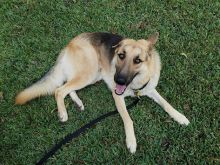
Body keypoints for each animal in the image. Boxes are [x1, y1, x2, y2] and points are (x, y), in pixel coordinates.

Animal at [16, 32, 190, 153]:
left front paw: (180, 117)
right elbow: (128, 119)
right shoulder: (117, 97)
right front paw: (131, 141)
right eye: (121, 55)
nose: (118, 80)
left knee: (68, 87)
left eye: (137, 60)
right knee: (60, 90)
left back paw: (78, 102)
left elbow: (166, 104)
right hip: (90, 72)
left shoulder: (149, 89)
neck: (136, 84)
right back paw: (63, 113)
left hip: (92, 76)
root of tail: (69, 44)